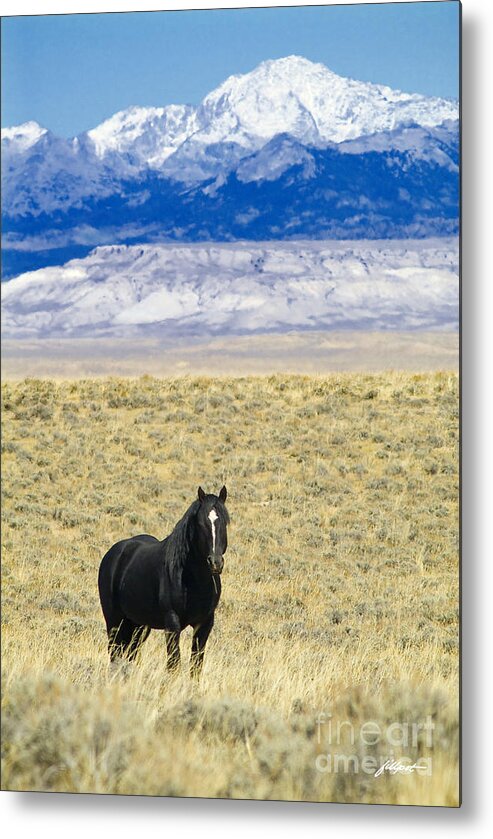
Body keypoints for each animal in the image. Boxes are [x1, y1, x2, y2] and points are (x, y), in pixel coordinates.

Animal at [97, 488, 229, 680]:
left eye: (224, 523)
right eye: (201, 523)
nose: (215, 563)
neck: (193, 581)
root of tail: (114, 552)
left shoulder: (205, 624)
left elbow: (195, 666)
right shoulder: (172, 624)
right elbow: (173, 664)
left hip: (138, 625)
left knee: (130, 654)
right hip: (114, 620)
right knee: (115, 654)